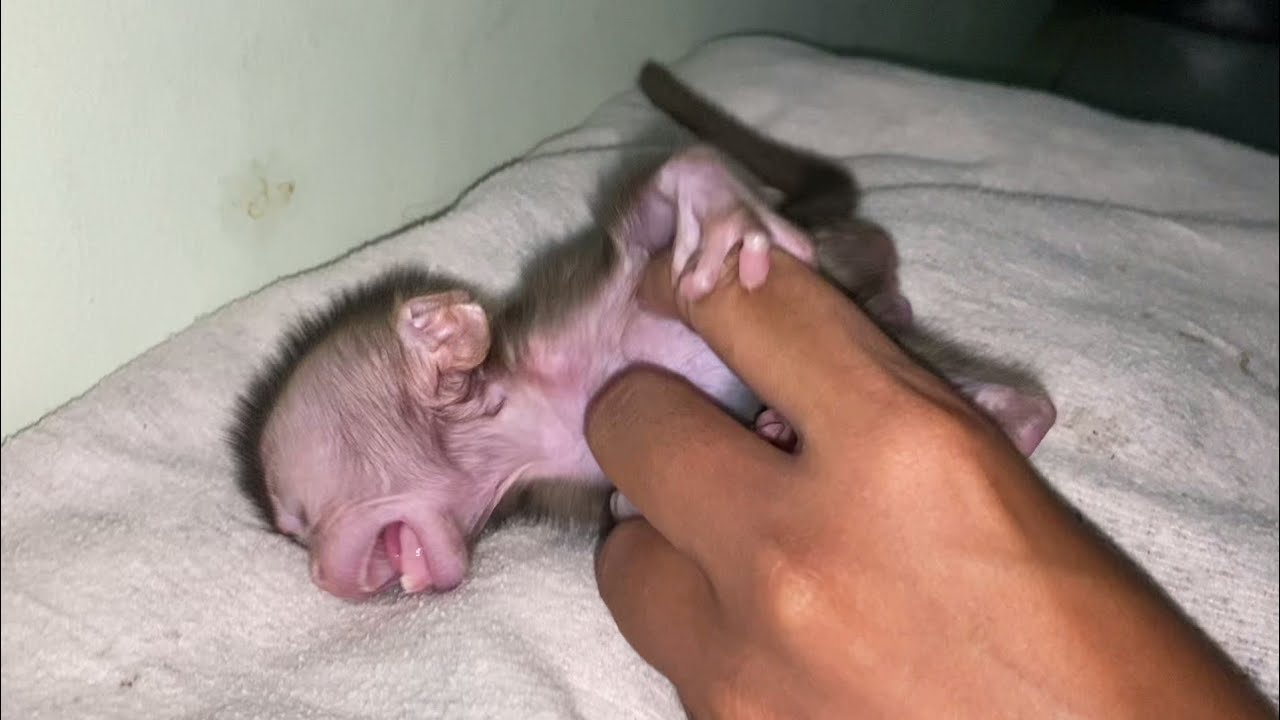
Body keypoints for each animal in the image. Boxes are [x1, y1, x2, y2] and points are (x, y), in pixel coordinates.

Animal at [228, 61, 1057, 602]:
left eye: (301, 519)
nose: (316, 570)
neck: (530, 416)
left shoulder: (593, 311)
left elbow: (654, 210)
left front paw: (717, 211)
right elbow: (621, 510)